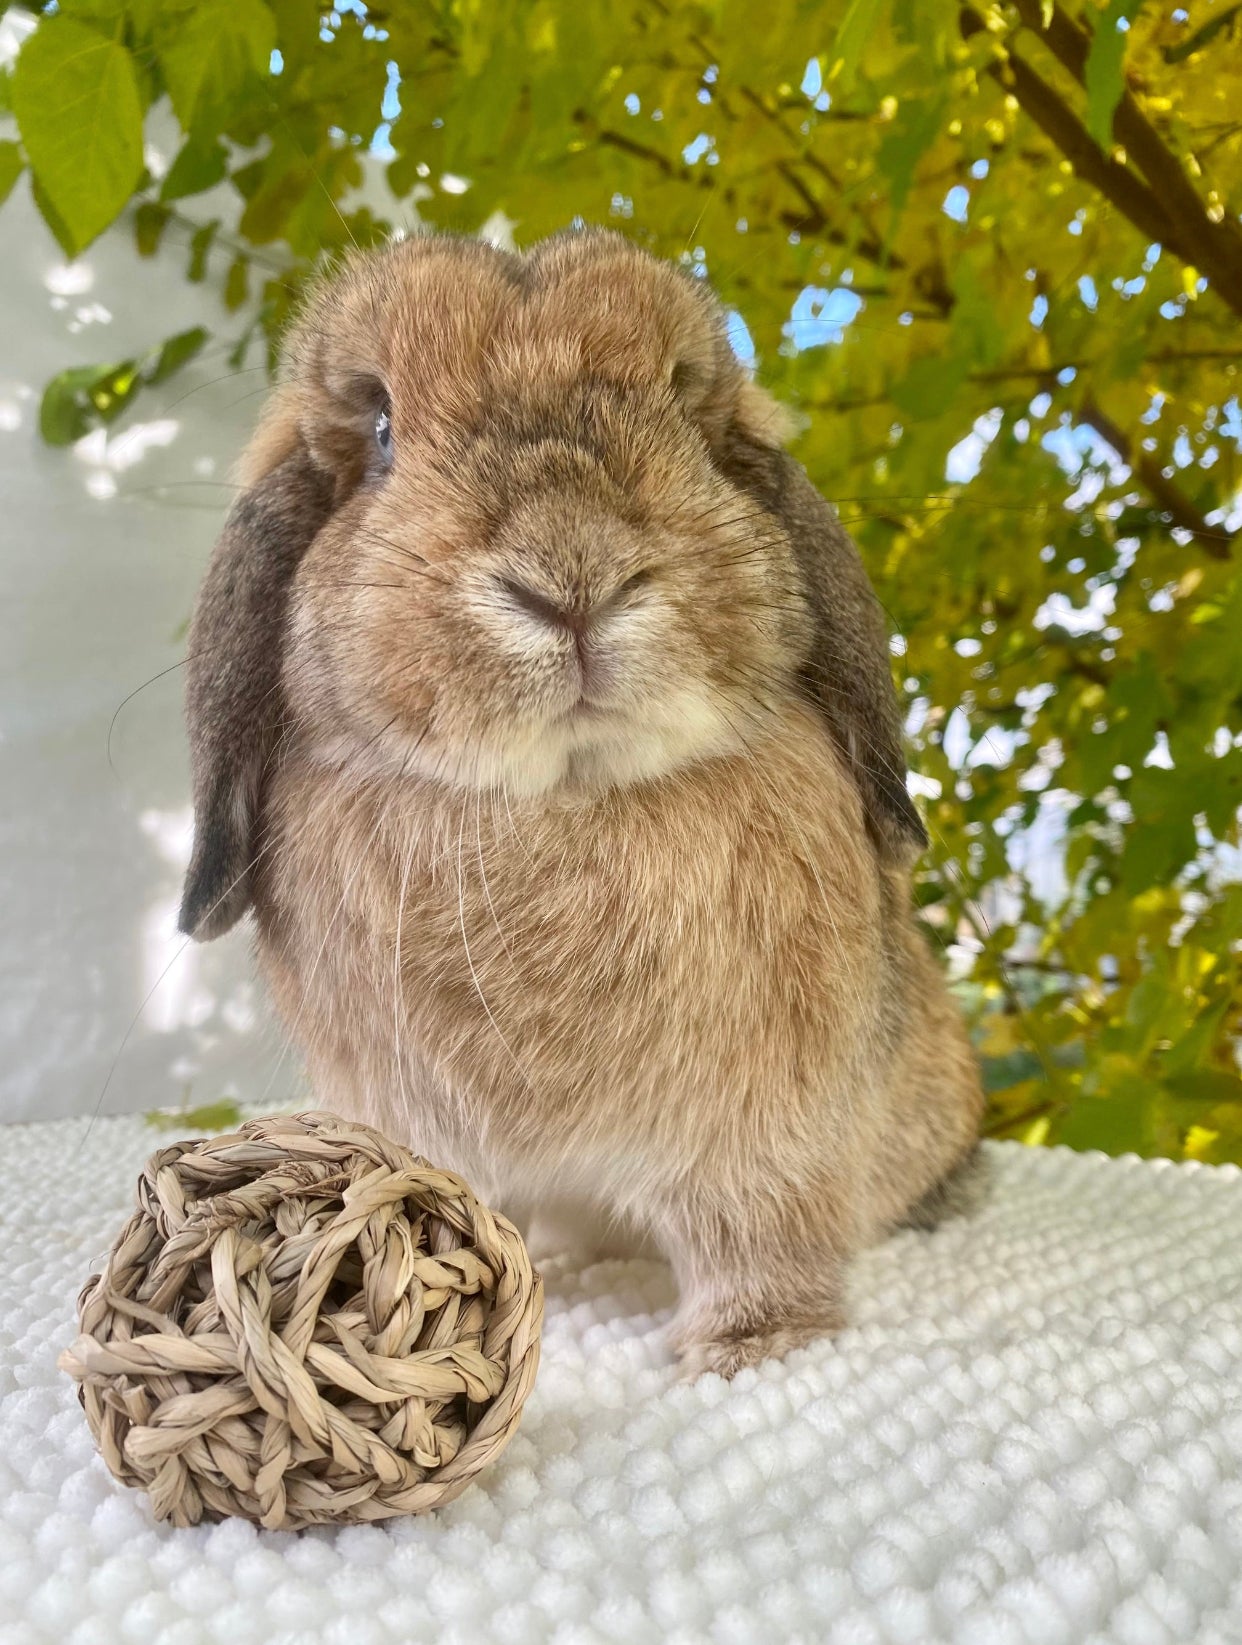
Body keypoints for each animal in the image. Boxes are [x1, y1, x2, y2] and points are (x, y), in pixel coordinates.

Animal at [178, 227, 983, 1378]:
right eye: (380, 431)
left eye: (684, 406)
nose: (573, 577)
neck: (567, 795)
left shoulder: (765, 1145)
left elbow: (761, 1238)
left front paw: (750, 1348)